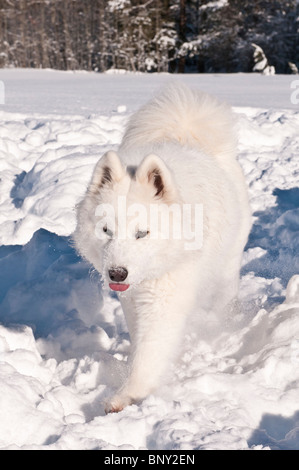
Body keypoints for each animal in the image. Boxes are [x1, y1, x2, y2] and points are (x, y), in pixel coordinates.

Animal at [74, 83, 252, 412]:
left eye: (142, 233)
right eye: (106, 230)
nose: (117, 273)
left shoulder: (166, 295)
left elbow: (151, 350)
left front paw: (126, 395)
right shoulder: (133, 298)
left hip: (226, 267)